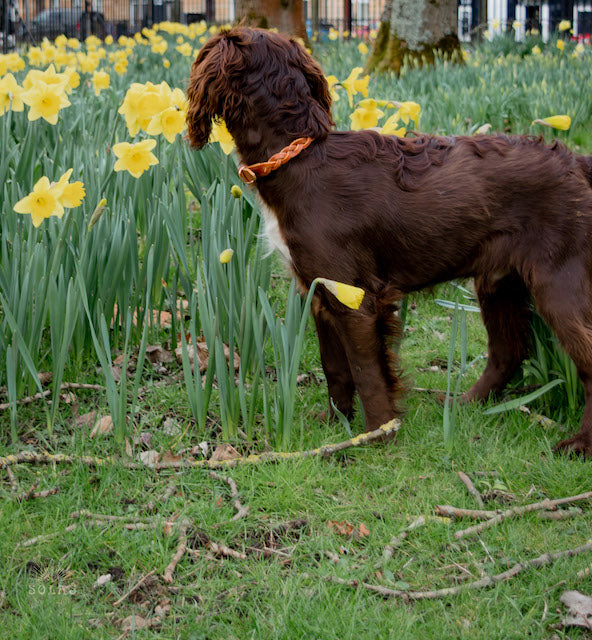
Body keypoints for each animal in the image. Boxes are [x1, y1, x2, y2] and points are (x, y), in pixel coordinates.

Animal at [187, 25, 592, 456]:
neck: (300, 156)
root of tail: (577, 163)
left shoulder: (357, 298)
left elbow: (366, 370)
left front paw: (377, 432)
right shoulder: (321, 292)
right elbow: (335, 367)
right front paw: (337, 423)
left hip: (557, 281)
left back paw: (580, 442)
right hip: (498, 281)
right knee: (508, 351)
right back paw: (462, 405)